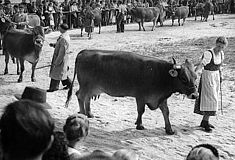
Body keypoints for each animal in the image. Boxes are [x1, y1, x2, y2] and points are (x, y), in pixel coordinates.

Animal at [65, 49, 198, 134]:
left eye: (196, 77)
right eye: (184, 78)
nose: (195, 95)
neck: (161, 74)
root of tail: (84, 52)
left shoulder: (161, 98)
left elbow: (166, 112)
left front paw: (169, 129)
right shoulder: (141, 97)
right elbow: (141, 111)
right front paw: (139, 125)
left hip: (92, 88)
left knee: (86, 98)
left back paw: (89, 113)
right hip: (86, 86)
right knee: (80, 96)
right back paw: (83, 115)